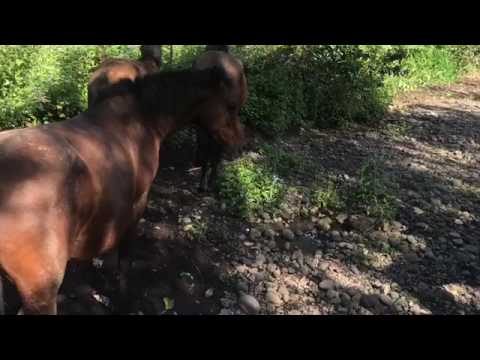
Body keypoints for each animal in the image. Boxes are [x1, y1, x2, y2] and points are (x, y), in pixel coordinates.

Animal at [0, 65, 246, 316]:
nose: (239, 144)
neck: (141, 118)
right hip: (42, 294)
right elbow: (125, 255)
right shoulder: (137, 205)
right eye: (231, 106)